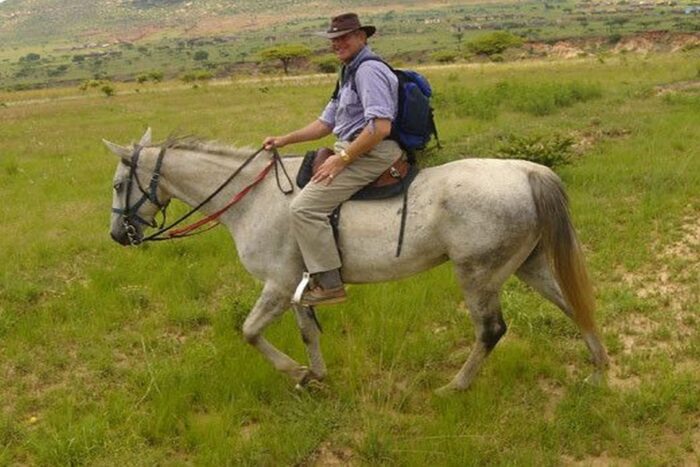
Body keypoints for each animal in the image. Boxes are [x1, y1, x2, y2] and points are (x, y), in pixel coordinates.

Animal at [104, 129, 608, 394]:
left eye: (117, 184)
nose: (117, 236)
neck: (253, 198)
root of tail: (527, 170)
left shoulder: (277, 285)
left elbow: (249, 332)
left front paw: (296, 372)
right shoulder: (299, 287)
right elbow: (307, 332)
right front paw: (315, 376)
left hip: (478, 275)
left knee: (491, 331)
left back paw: (455, 387)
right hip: (529, 265)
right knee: (575, 306)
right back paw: (600, 369)